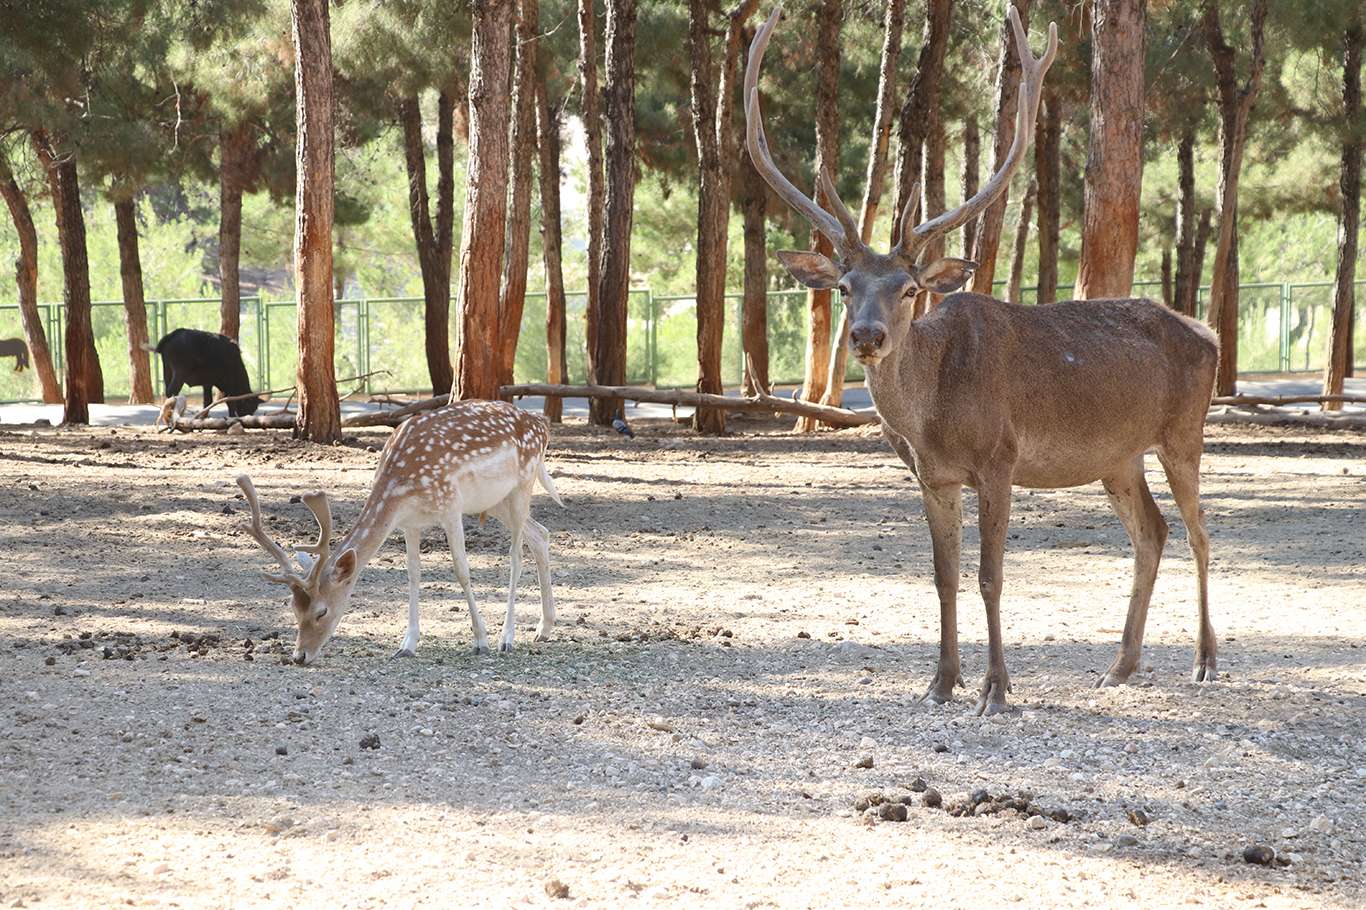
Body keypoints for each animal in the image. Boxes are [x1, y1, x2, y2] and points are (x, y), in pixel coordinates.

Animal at [237, 401, 562, 664]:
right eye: (293, 608)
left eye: (322, 611)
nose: (299, 656)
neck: (399, 487)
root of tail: (542, 424)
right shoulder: (410, 522)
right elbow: (413, 575)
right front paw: (407, 645)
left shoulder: (450, 507)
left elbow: (462, 571)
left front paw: (480, 640)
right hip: (495, 501)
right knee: (541, 534)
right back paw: (543, 628)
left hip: (522, 484)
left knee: (516, 554)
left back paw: (507, 638)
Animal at [748, 8, 1218, 715]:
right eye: (844, 286)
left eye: (909, 289)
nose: (866, 336)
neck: (932, 421)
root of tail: (1210, 335)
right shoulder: (933, 477)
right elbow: (944, 577)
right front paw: (940, 683)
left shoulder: (1001, 457)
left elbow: (991, 577)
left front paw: (997, 689)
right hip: (1118, 455)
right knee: (1151, 533)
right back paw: (1120, 666)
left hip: (1184, 432)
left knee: (1199, 532)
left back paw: (1205, 661)